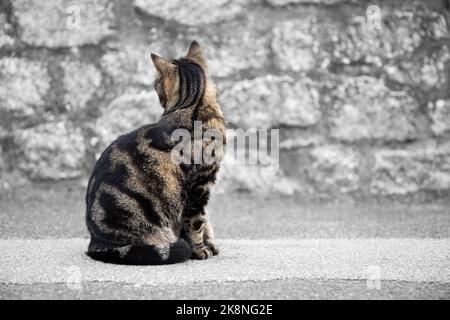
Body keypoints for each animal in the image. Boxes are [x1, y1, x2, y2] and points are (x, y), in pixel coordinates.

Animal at [85, 40, 227, 264]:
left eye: (155, 85)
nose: (159, 97)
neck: (190, 108)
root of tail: (96, 243)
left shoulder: (200, 190)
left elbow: (204, 221)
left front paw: (209, 245)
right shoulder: (198, 188)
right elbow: (197, 223)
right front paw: (200, 250)